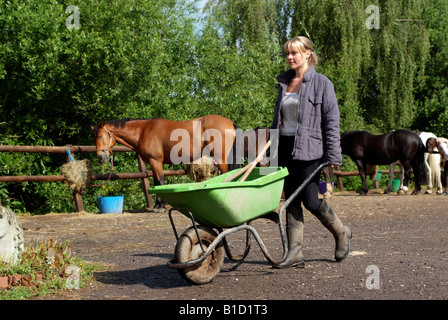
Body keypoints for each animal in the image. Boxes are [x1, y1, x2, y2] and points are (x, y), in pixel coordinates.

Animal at [90, 115, 238, 210]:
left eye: (101, 136)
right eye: (94, 138)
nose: (101, 157)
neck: (143, 131)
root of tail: (230, 123)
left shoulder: (155, 162)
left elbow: (159, 182)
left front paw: (159, 206)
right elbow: (158, 182)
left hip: (222, 159)